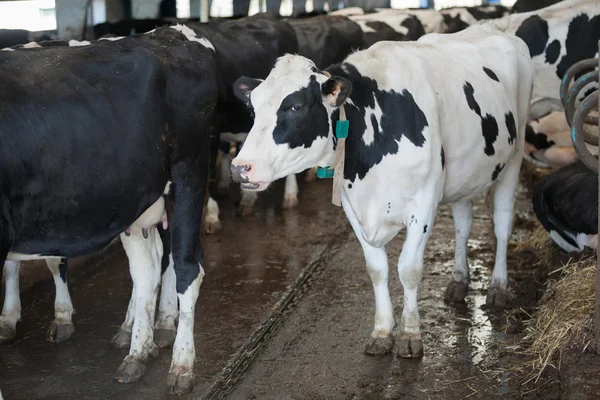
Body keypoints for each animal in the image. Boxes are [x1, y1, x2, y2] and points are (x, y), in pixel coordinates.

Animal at [0, 26, 216, 396]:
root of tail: (173, 32)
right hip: (133, 199)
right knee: (147, 269)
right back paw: (137, 349)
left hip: (189, 173)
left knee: (186, 266)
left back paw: (180, 362)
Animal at [230, 24, 536, 356]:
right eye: (252, 107)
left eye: (296, 106)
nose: (240, 167)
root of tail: (494, 28)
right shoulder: (354, 206)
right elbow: (376, 268)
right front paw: (382, 331)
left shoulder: (423, 203)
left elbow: (409, 269)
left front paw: (411, 335)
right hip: (463, 173)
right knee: (463, 224)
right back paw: (458, 281)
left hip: (515, 155)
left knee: (502, 224)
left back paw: (498, 286)